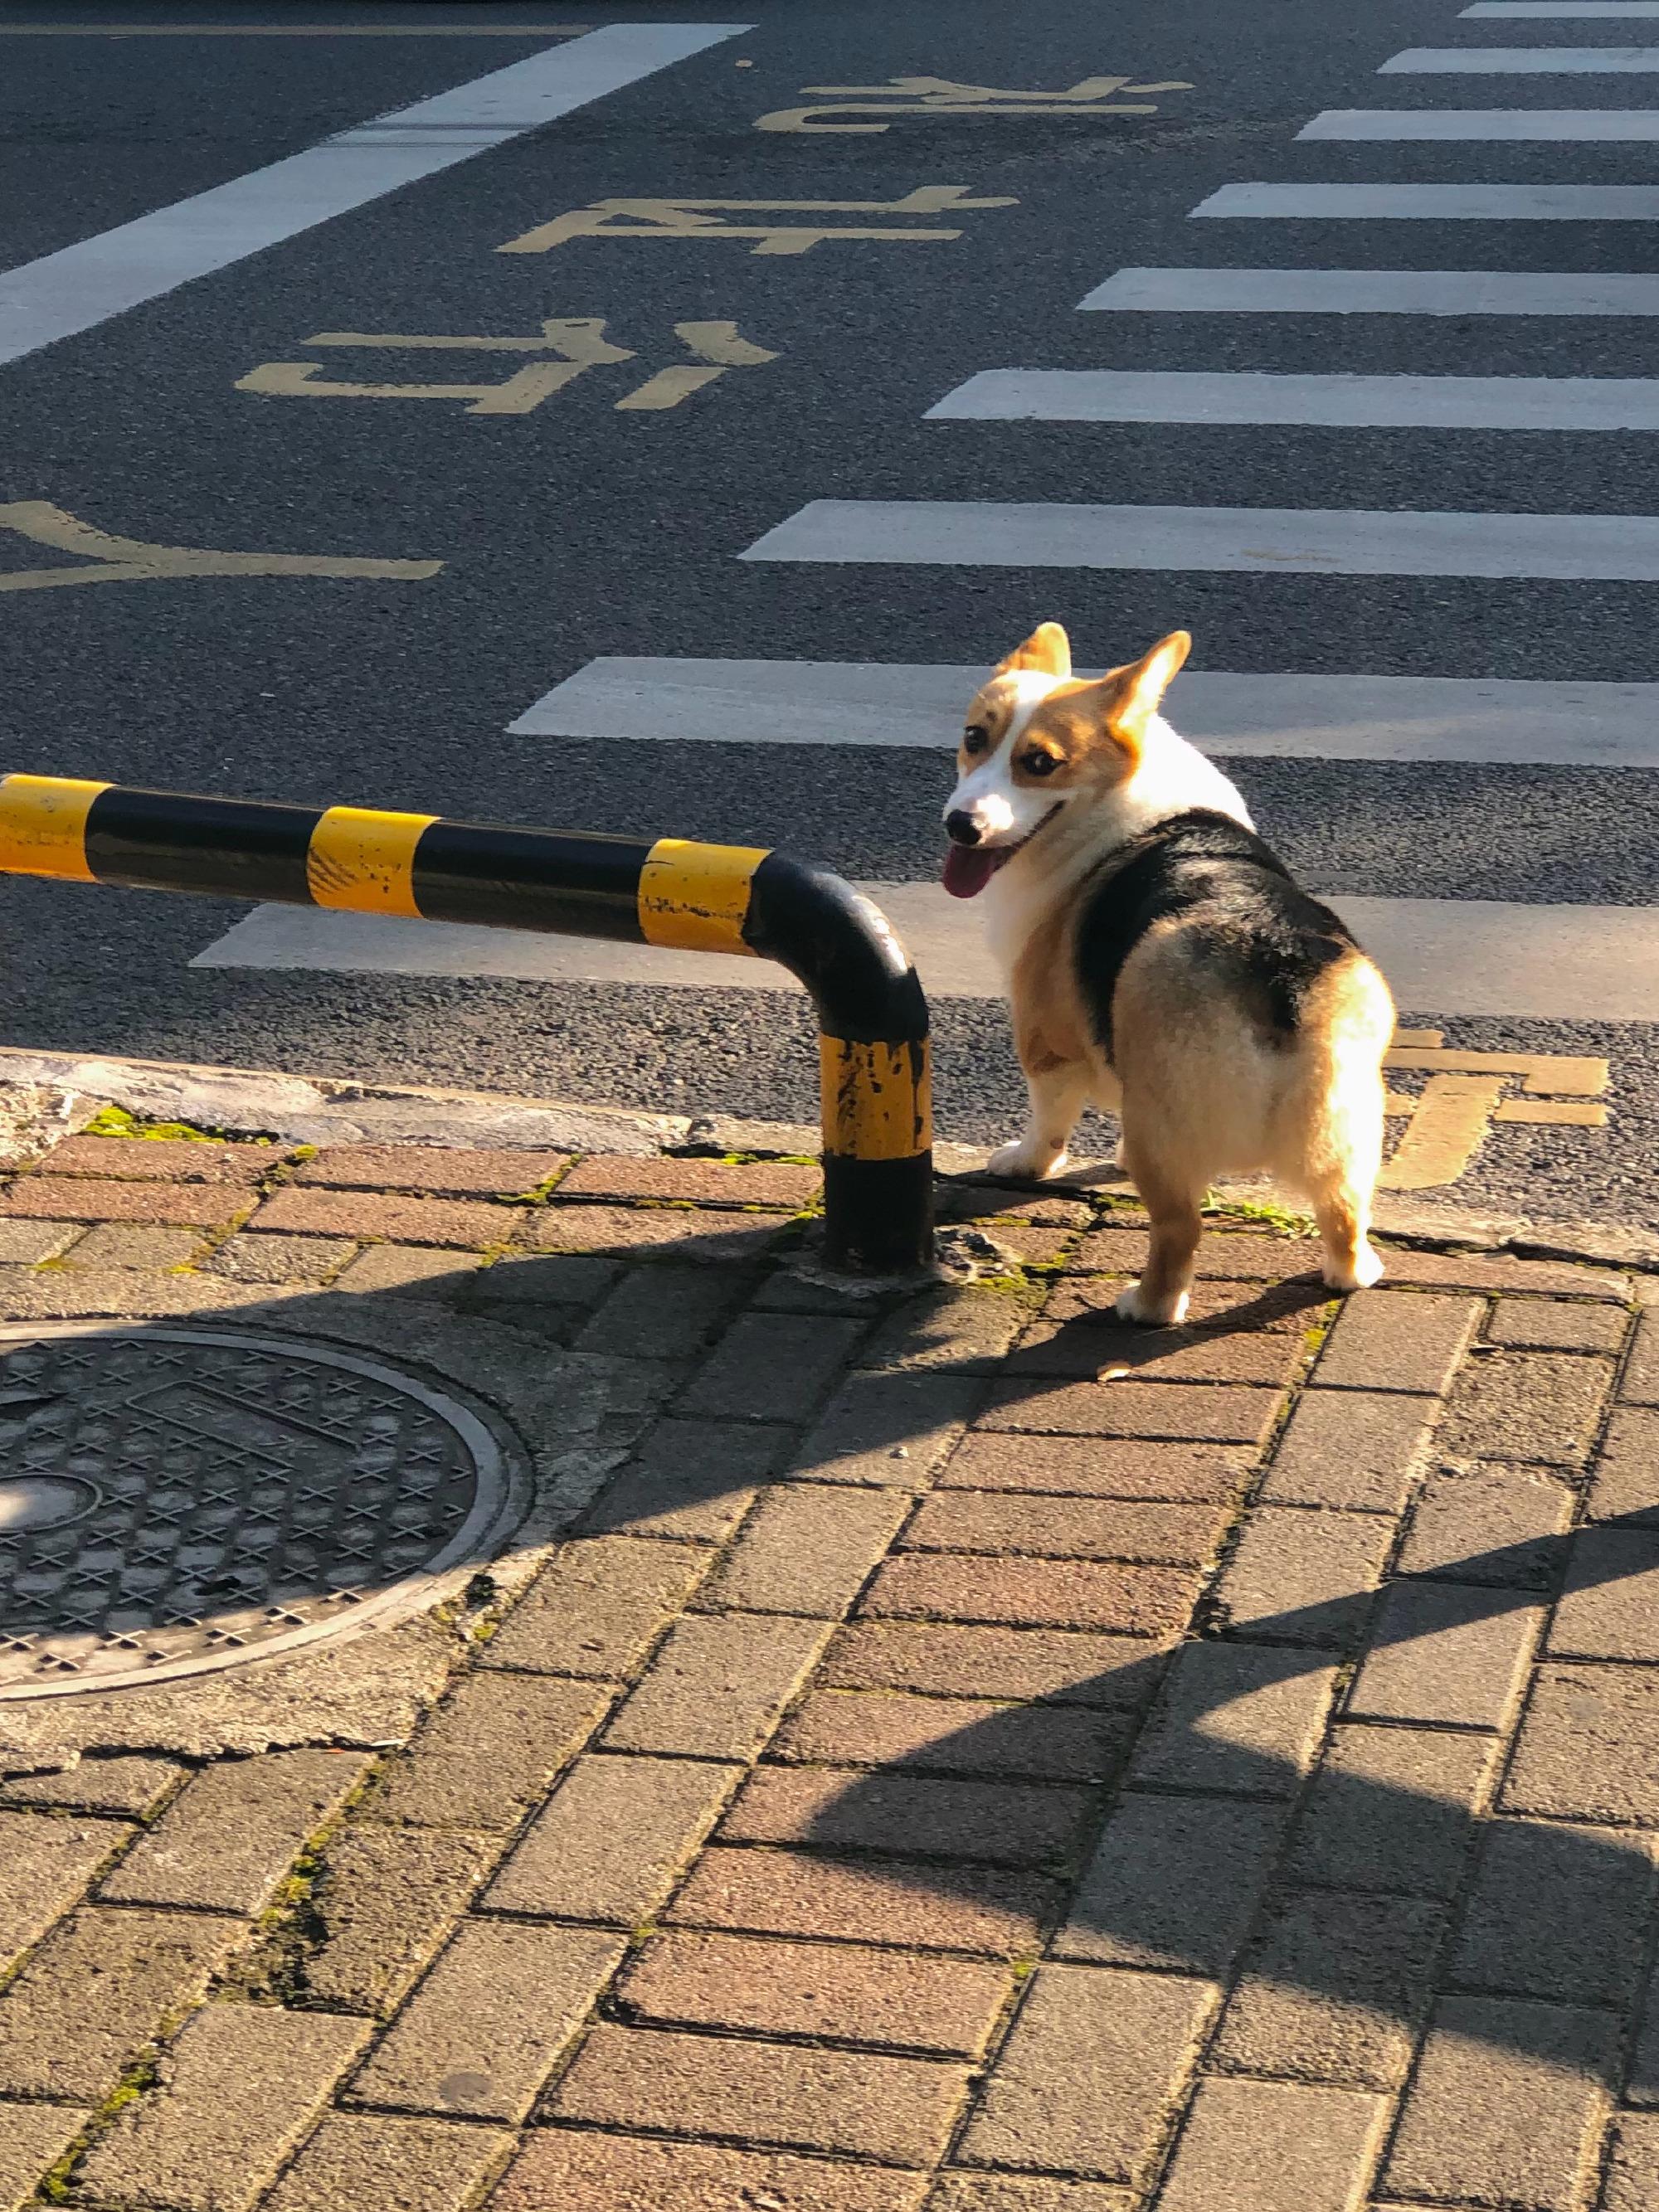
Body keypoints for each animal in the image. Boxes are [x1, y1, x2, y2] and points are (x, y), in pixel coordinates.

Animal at [942, 615, 1398, 1318]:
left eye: (1040, 763)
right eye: (974, 738)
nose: (959, 825)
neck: (1117, 799)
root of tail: (1276, 972)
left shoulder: (1046, 1042)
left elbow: (1048, 1121)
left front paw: (1023, 1162)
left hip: (1160, 1128)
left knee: (1179, 1230)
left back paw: (1146, 1306)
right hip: (1347, 1131)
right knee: (1345, 1213)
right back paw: (1350, 1272)